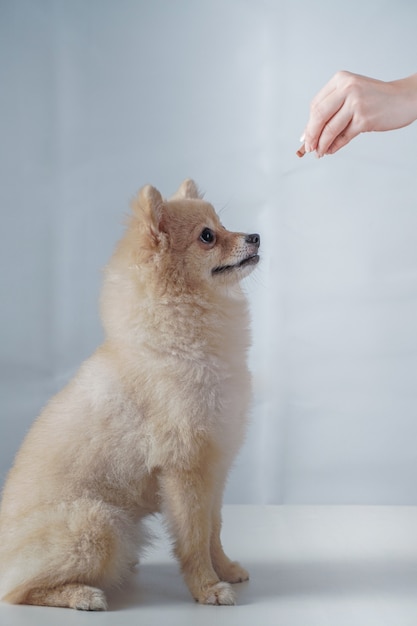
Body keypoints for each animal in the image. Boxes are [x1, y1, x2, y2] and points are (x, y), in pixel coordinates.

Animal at [0, 178, 260, 608]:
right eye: (207, 236)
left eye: (223, 225)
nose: (255, 236)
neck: (179, 342)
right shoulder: (185, 469)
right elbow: (193, 538)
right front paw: (206, 588)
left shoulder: (215, 467)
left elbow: (214, 530)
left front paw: (225, 569)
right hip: (99, 524)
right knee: (17, 589)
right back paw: (82, 595)